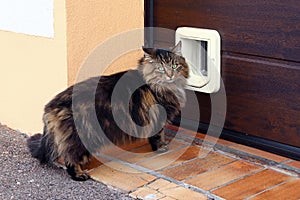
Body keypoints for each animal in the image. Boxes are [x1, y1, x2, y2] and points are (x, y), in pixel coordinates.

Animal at [27, 41, 188, 181]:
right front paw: (161, 147)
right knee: (70, 158)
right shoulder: (159, 118)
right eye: (161, 68)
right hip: (79, 137)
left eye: (175, 65)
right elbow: (158, 135)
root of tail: (50, 106)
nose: (170, 75)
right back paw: (79, 175)